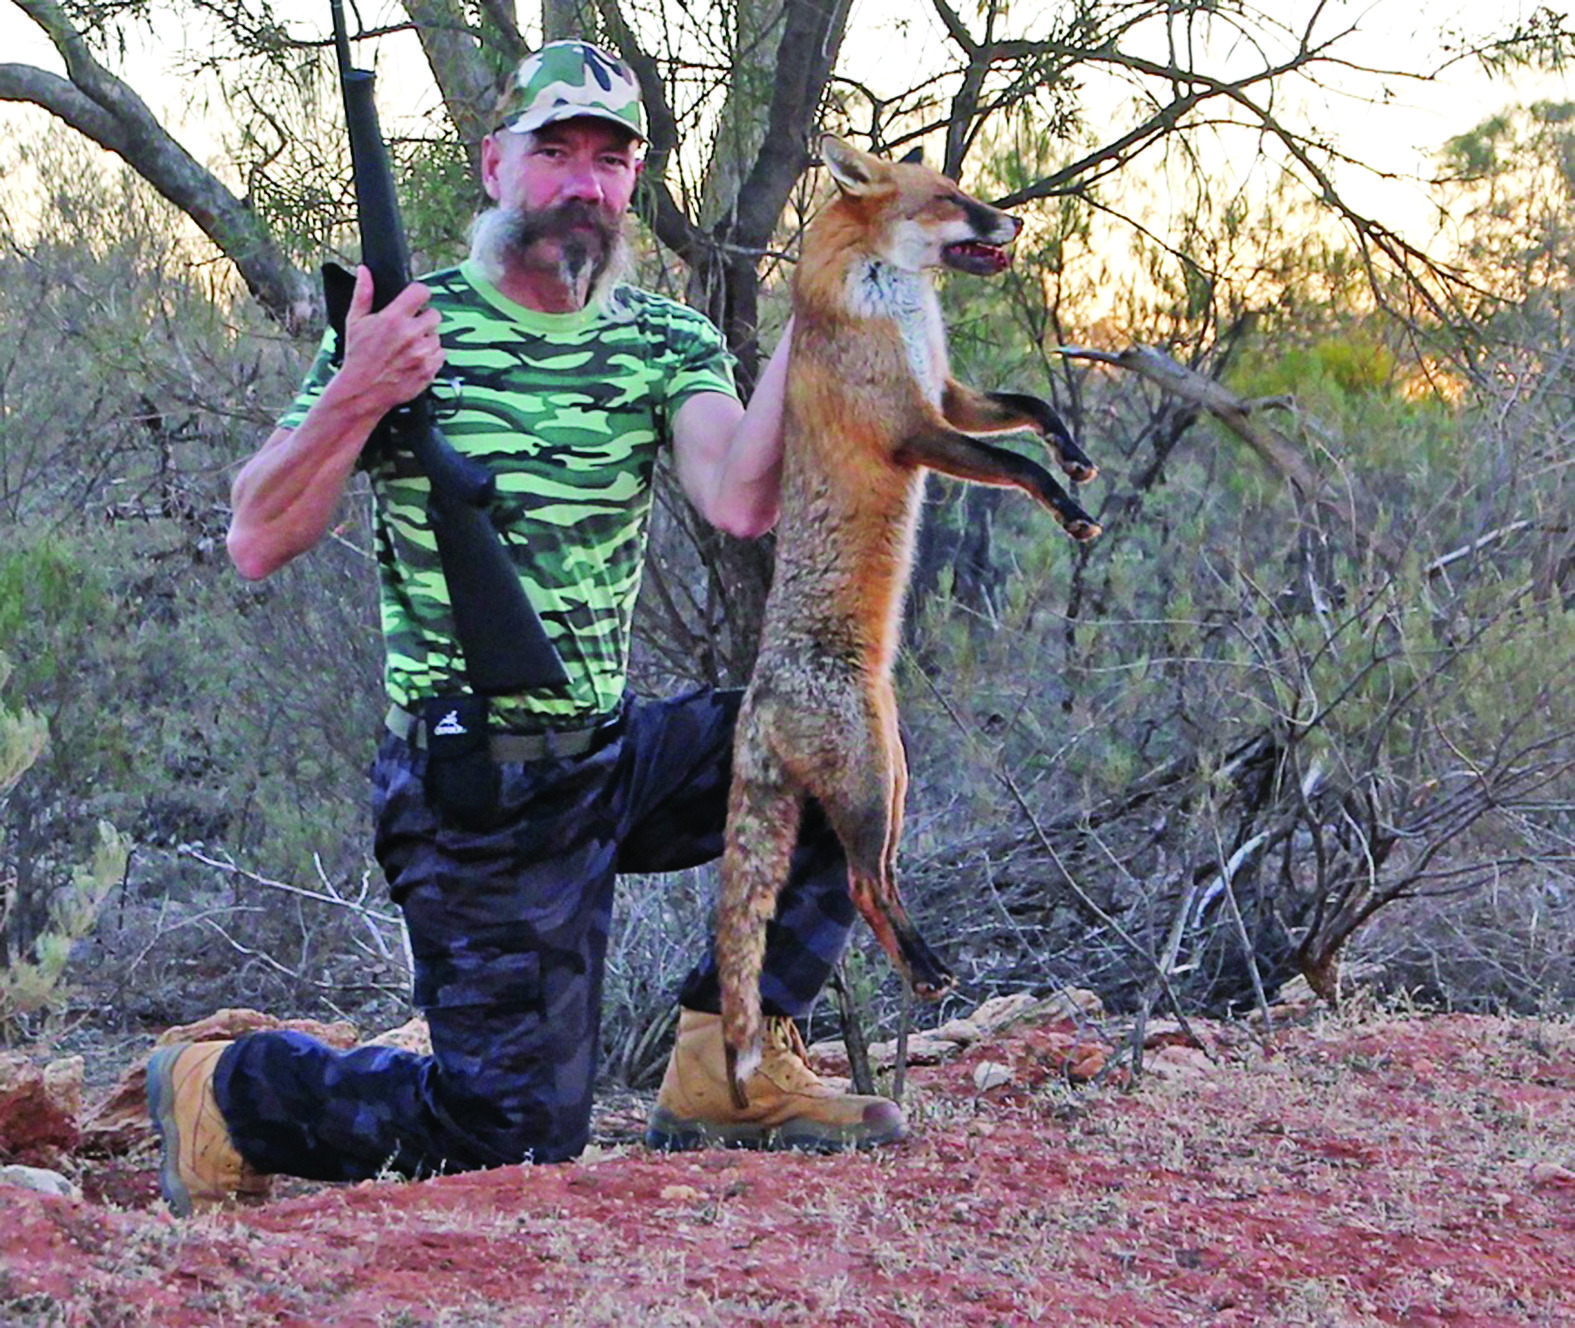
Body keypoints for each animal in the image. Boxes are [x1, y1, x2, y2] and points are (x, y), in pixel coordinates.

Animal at [721, 132, 1102, 1102]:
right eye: (950, 199)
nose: (1013, 223)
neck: (897, 308)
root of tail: (757, 703)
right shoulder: (912, 427)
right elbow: (1017, 465)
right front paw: (1069, 510)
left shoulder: (949, 390)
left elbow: (1028, 408)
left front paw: (1075, 455)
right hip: (864, 784)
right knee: (863, 886)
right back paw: (927, 971)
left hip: (892, 777)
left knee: (881, 882)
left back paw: (920, 966)